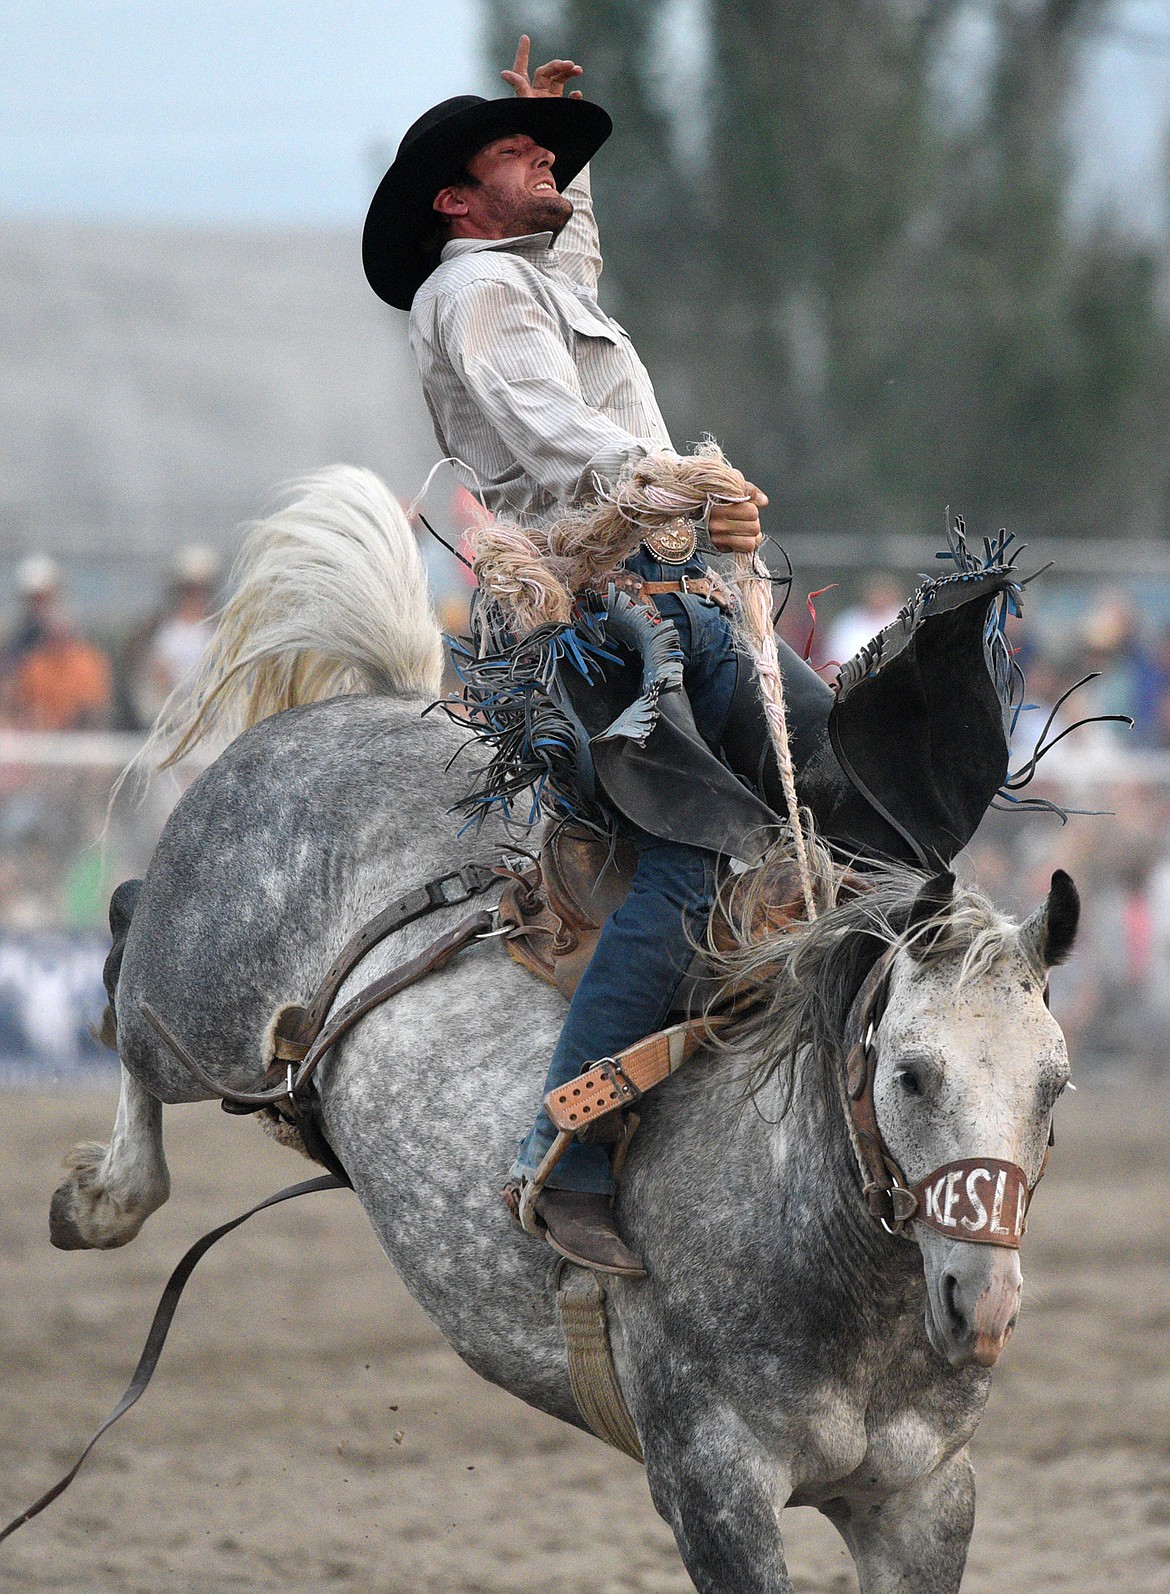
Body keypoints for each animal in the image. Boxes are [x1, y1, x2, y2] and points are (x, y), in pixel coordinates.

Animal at [52, 465, 1083, 1587]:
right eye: (910, 1074)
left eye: (1053, 1084)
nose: (983, 1305)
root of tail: (361, 703)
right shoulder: (712, 1485)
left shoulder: (925, 1497)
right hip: (196, 1006)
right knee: (124, 965)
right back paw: (102, 1200)